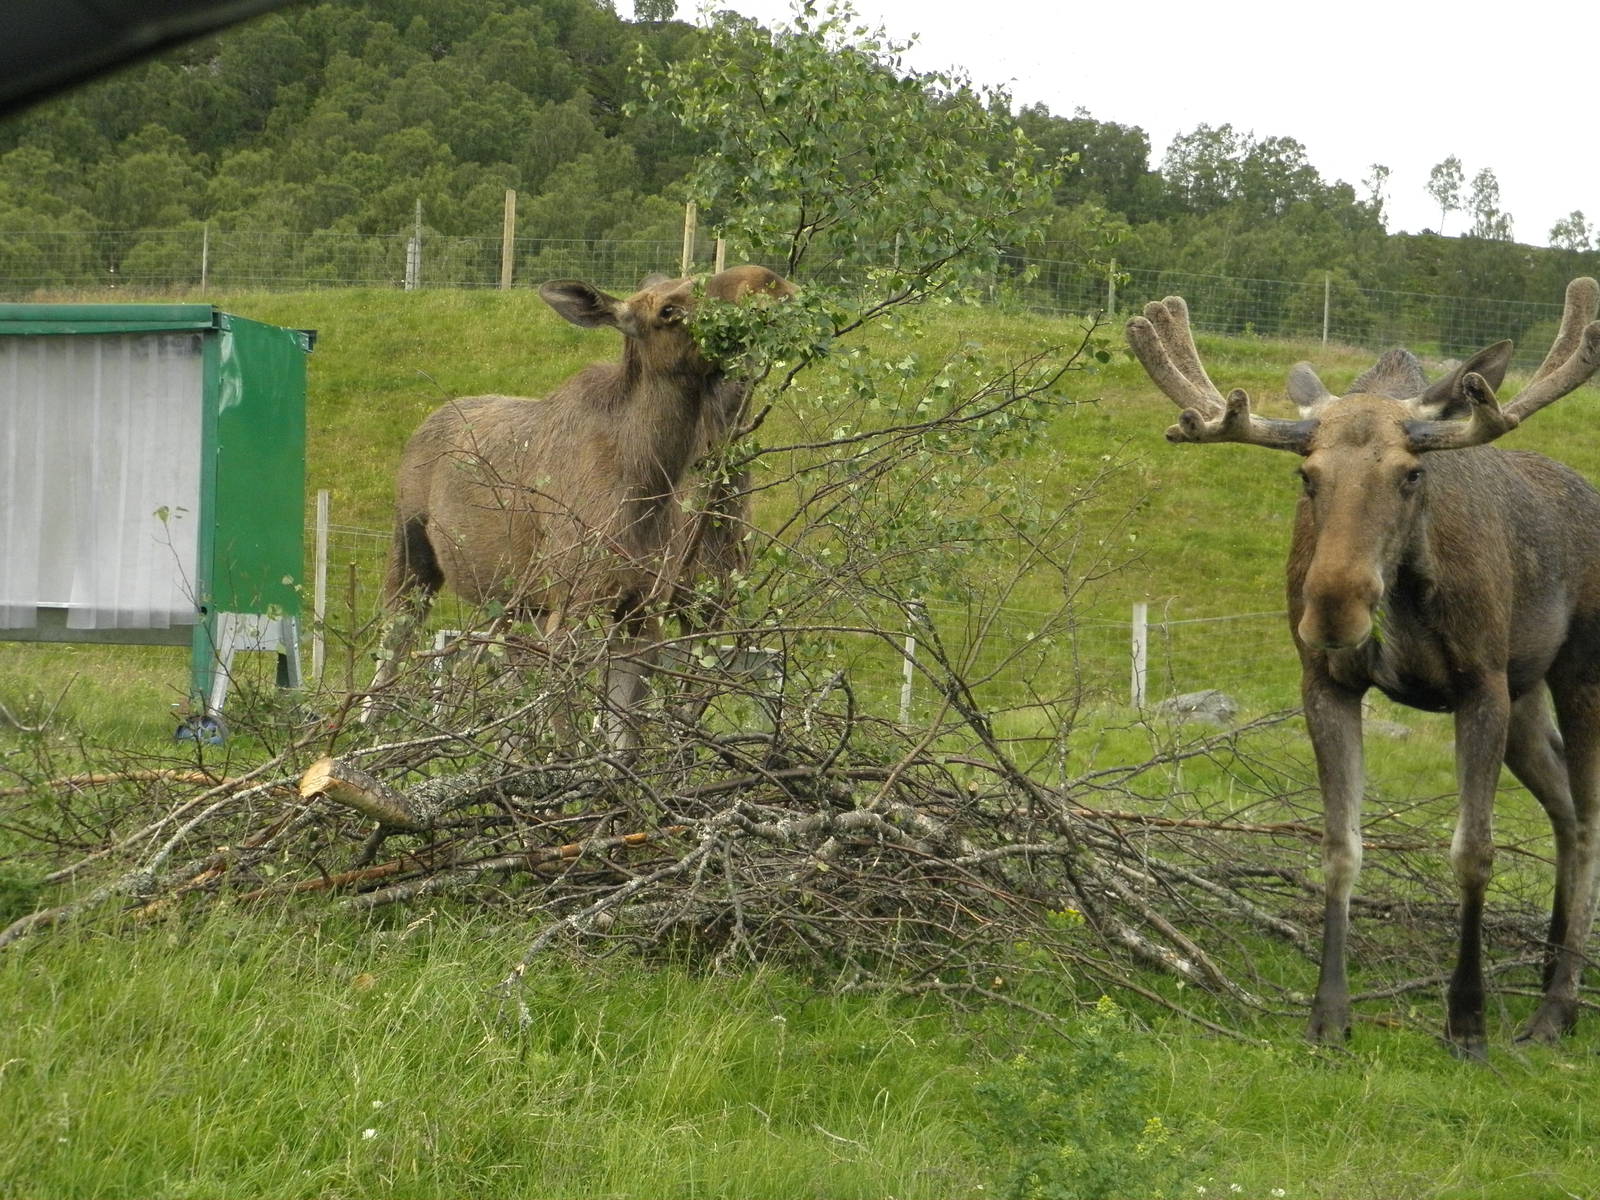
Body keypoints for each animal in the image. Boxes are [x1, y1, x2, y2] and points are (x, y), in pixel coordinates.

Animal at [369, 264, 796, 749]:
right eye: (669, 310)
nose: (767, 281)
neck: (647, 481)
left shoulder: (644, 610)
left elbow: (626, 738)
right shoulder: (575, 606)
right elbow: (570, 733)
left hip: (518, 599)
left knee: (503, 660)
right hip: (411, 558)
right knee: (389, 659)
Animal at [1125, 277, 1600, 1057]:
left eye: (1412, 474)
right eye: (1306, 474)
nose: (1332, 611)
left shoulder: (1480, 685)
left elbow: (1474, 851)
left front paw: (1466, 1020)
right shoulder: (1327, 684)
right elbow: (1339, 847)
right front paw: (1328, 1014)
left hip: (1577, 670)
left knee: (1588, 818)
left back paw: (1555, 1007)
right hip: (1527, 695)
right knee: (1562, 805)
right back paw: (1549, 970)